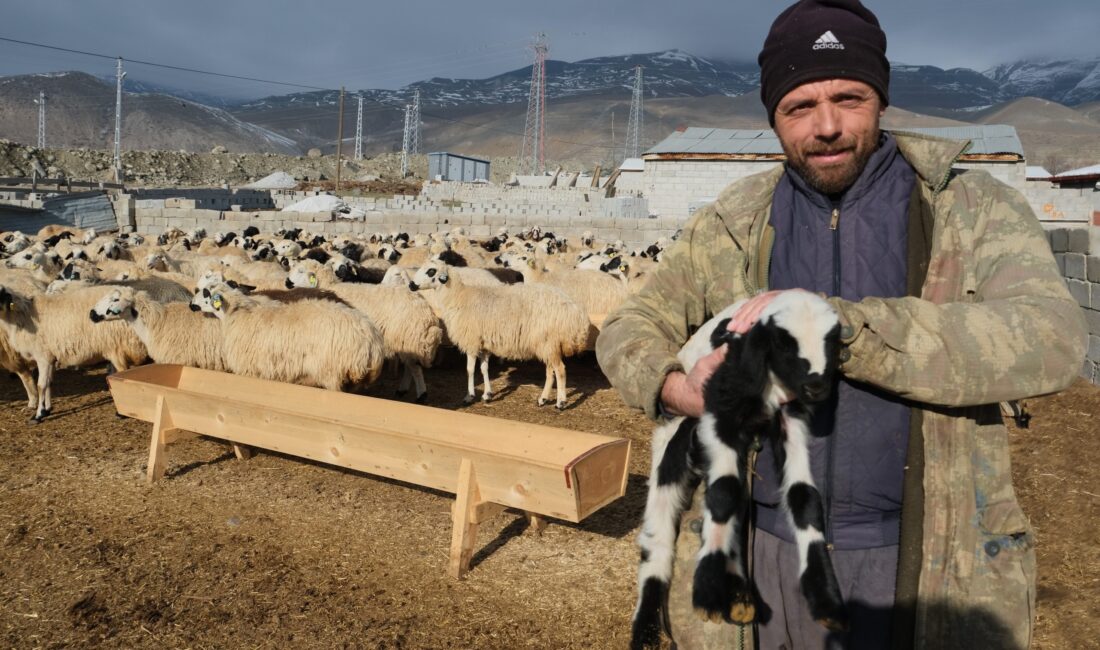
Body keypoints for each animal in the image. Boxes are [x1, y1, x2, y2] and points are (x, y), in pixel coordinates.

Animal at [633, 292, 844, 646]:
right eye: (784, 345)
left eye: (832, 342)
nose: (817, 388)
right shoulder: (721, 406)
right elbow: (723, 492)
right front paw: (706, 590)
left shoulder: (790, 416)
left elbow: (804, 497)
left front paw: (826, 600)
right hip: (673, 443)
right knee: (656, 541)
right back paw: (646, 633)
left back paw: (740, 597)